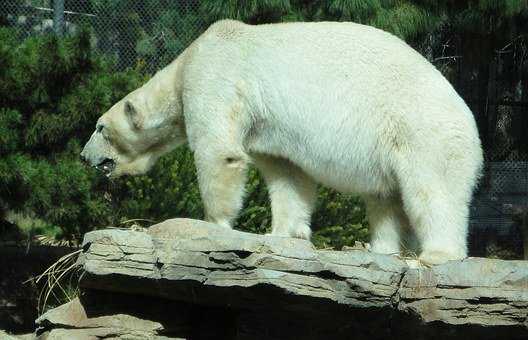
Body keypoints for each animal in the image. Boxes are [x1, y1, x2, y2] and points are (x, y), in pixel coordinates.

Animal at [79, 19, 482, 266]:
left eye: (99, 128)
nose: (83, 157)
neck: (185, 63)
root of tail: (470, 122)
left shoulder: (215, 76)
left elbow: (219, 151)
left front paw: (213, 224)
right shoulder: (268, 129)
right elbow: (288, 175)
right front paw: (284, 233)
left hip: (421, 132)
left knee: (431, 192)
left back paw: (438, 254)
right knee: (385, 198)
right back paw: (380, 248)